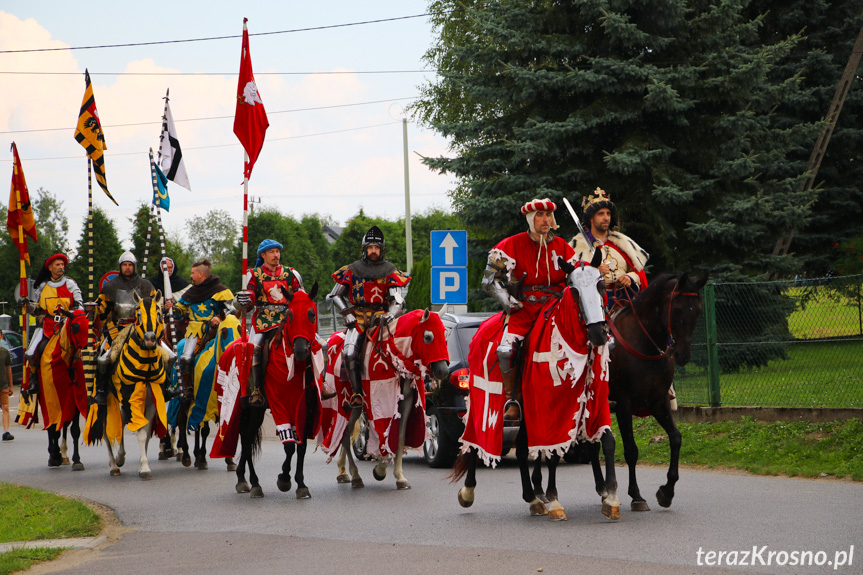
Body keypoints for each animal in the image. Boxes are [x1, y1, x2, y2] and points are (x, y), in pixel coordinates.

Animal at [592, 272, 708, 510]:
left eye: (698, 310)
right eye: (677, 309)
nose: (682, 355)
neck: (642, 343)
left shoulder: (658, 402)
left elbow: (676, 437)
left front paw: (667, 491)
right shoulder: (624, 405)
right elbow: (631, 450)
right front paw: (636, 495)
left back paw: (602, 488)